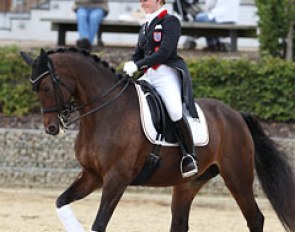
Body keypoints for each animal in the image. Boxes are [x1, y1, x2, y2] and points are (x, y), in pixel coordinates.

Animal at [20, 47, 295, 232]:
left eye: (46, 87)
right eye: (35, 89)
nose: (52, 128)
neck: (104, 113)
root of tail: (236, 115)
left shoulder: (116, 179)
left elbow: (99, 224)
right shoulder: (92, 176)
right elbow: (60, 201)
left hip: (237, 177)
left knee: (255, 218)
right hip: (188, 183)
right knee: (180, 223)